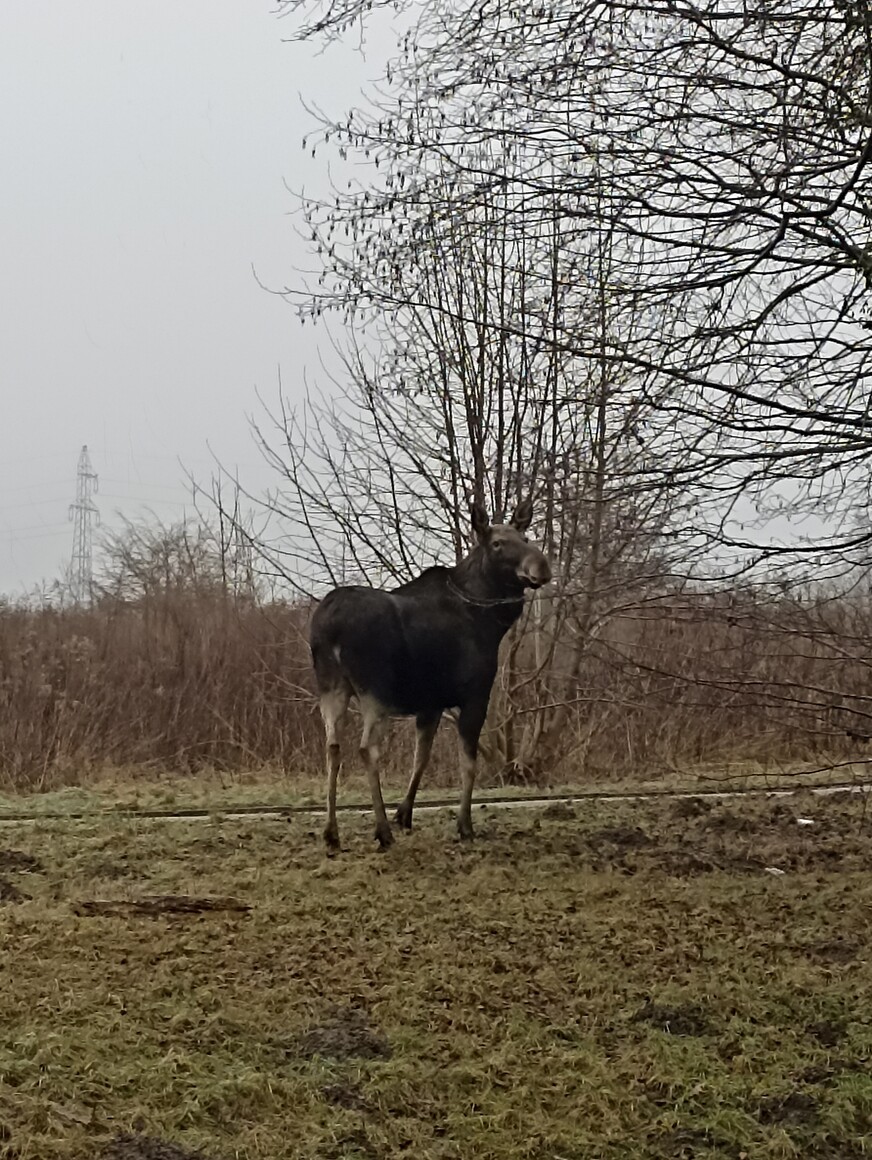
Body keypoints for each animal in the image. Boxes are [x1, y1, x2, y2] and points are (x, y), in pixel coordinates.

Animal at [308, 498, 551, 853]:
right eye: (497, 543)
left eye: (526, 537)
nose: (541, 567)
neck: (491, 620)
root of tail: (329, 627)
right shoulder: (475, 695)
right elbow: (468, 763)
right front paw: (464, 825)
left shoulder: (431, 704)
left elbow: (420, 758)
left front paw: (404, 814)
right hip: (375, 691)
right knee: (367, 748)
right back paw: (382, 832)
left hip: (331, 687)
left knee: (333, 746)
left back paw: (332, 832)